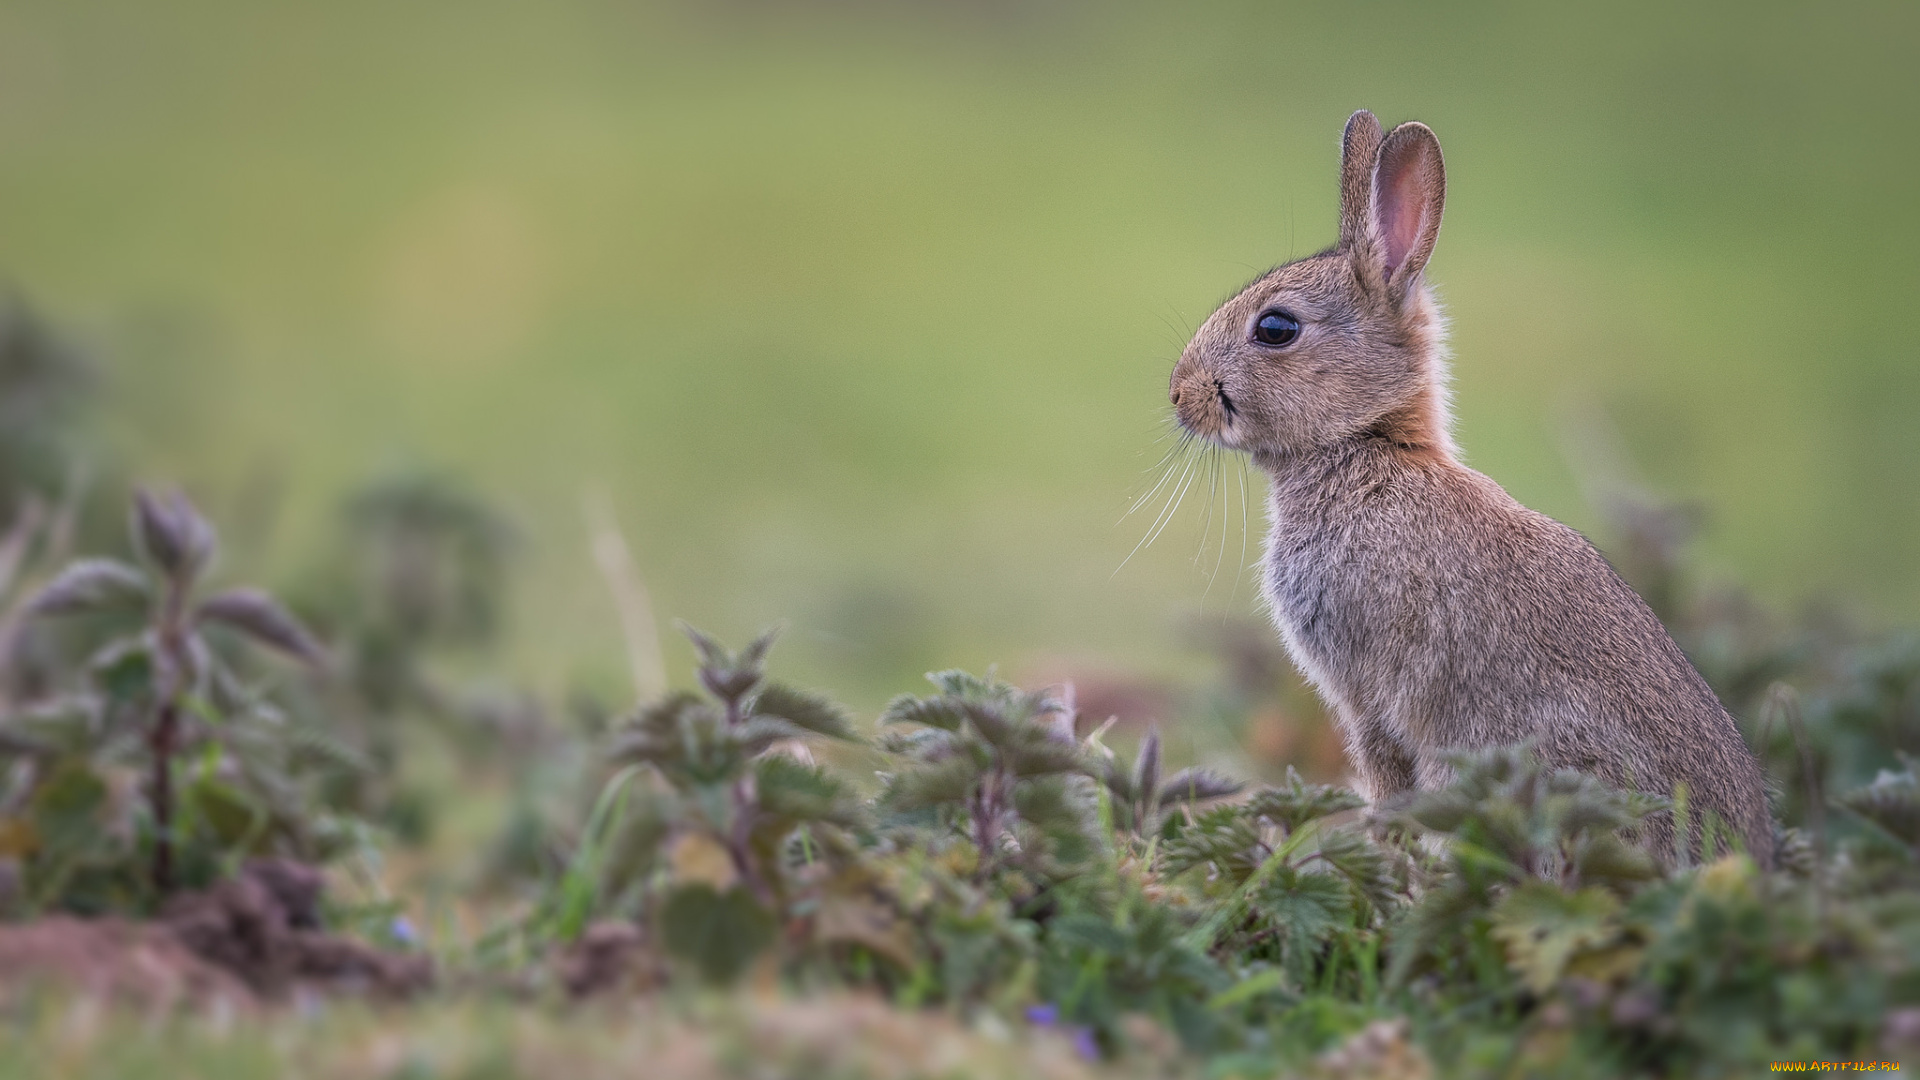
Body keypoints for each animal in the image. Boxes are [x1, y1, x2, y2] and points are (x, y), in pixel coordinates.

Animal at [1159, 111, 1774, 864]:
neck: (1369, 449)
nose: (1179, 395)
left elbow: (1385, 778)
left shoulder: (1368, 695)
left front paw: (1384, 849)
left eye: (1276, 328)